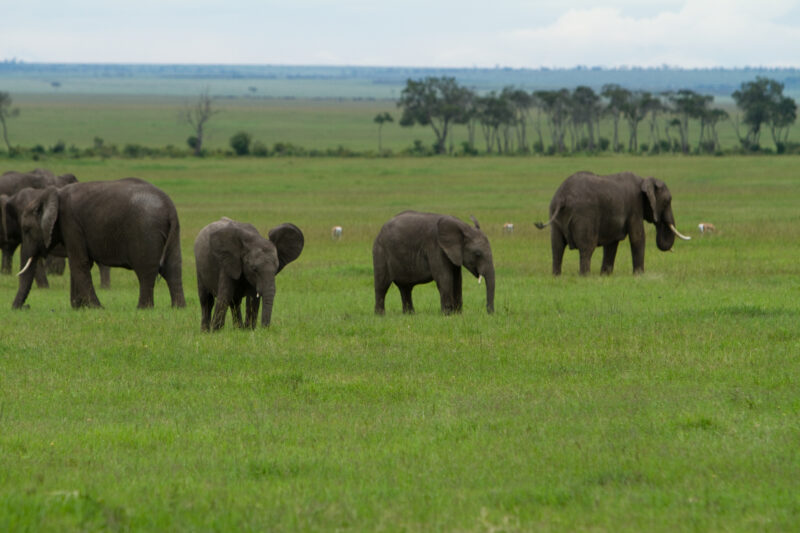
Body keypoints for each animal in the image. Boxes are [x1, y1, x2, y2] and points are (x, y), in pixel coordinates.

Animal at [13, 177, 185, 309]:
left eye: (26, 229)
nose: (25, 307)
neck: (52, 194)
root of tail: (169, 208)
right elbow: (82, 264)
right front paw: (80, 308)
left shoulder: (70, 223)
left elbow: (79, 263)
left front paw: (96, 308)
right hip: (173, 231)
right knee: (173, 267)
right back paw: (177, 308)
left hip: (145, 231)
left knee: (146, 271)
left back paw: (143, 309)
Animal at [535, 171, 691, 276]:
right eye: (667, 201)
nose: (672, 250)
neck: (644, 180)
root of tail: (562, 197)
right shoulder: (635, 206)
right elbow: (637, 237)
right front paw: (639, 275)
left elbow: (612, 243)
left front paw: (605, 275)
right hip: (584, 216)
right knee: (587, 247)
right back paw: (585, 276)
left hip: (555, 214)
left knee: (557, 247)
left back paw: (556, 276)